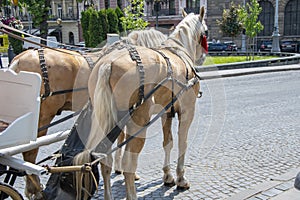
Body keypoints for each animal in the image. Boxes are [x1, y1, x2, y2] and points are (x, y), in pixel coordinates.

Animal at [8, 28, 169, 199]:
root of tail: (19, 60)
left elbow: (119, 137)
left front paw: (119, 168)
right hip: (43, 116)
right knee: (30, 152)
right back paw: (36, 189)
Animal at [74, 6, 207, 200]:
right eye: (206, 32)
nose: (204, 56)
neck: (179, 53)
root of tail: (108, 64)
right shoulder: (187, 111)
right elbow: (182, 143)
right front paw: (180, 178)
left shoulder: (166, 112)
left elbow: (168, 142)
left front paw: (167, 175)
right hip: (138, 123)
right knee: (128, 163)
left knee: (105, 160)